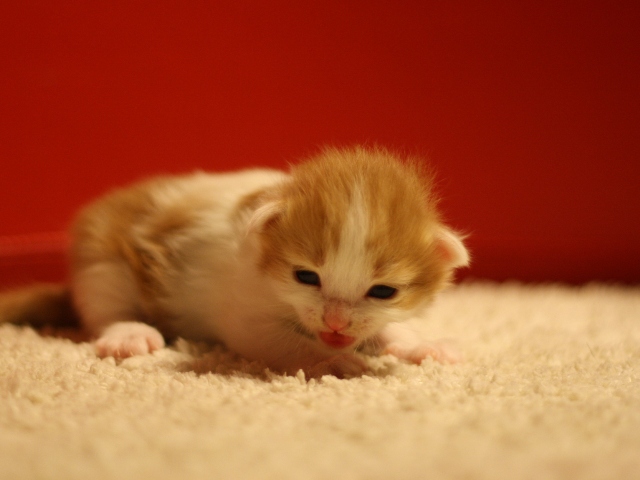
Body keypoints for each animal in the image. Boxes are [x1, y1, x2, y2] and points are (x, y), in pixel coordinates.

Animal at [3, 144, 470, 376]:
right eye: (306, 277)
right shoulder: (244, 309)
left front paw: (420, 344)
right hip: (104, 264)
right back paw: (129, 335)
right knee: (106, 311)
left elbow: (386, 329)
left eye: (383, 291)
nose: (336, 323)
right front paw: (332, 361)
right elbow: (277, 341)